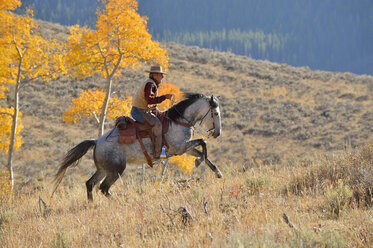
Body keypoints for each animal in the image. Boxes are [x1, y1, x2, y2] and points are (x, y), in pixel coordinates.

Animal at [52, 92, 221, 200]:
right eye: (216, 113)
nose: (218, 133)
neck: (178, 121)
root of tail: (96, 141)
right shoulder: (180, 147)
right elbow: (203, 143)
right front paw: (199, 162)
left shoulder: (184, 148)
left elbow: (202, 152)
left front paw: (217, 172)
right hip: (116, 170)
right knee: (104, 188)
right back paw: (119, 201)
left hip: (104, 169)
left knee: (90, 184)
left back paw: (91, 204)